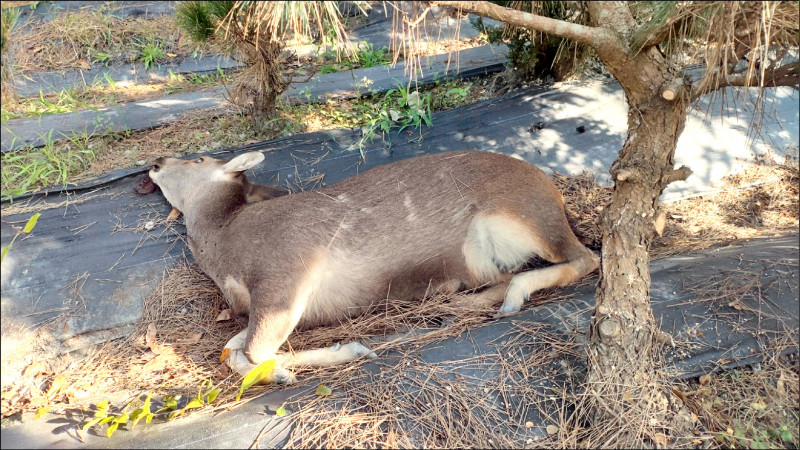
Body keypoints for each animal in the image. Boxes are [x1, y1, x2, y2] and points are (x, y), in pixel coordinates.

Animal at [152, 150, 600, 384]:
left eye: (198, 157)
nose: (155, 162)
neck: (224, 245)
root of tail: (556, 192)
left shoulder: (285, 270)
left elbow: (253, 349)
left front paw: (343, 350)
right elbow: (231, 349)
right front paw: (288, 371)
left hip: (523, 215)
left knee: (587, 257)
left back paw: (510, 297)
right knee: (507, 273)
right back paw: (461, 301)